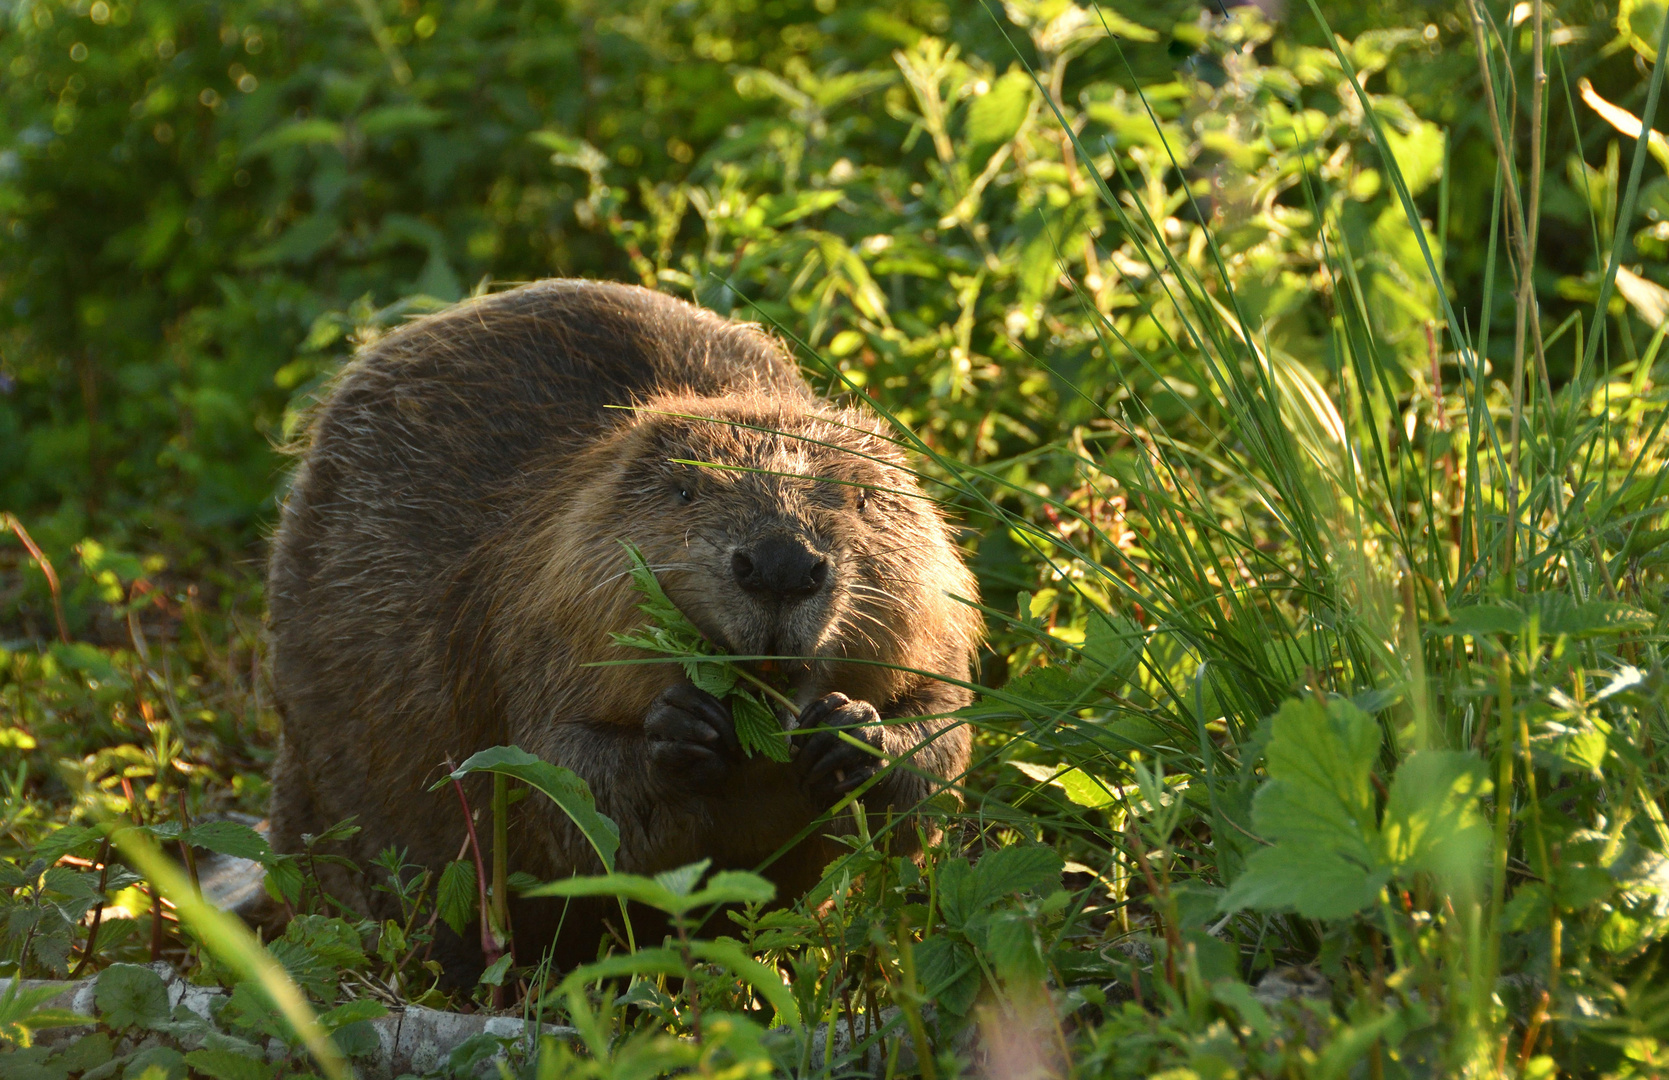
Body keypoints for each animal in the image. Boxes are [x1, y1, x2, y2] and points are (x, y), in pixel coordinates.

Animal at [267, 278, 981, 974]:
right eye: (686, 492)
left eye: (864, 497)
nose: (781, 564)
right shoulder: (532, 619)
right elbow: (561, 778)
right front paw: (684, 731)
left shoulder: (938, 622)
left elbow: (944, 731)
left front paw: (850, 732)